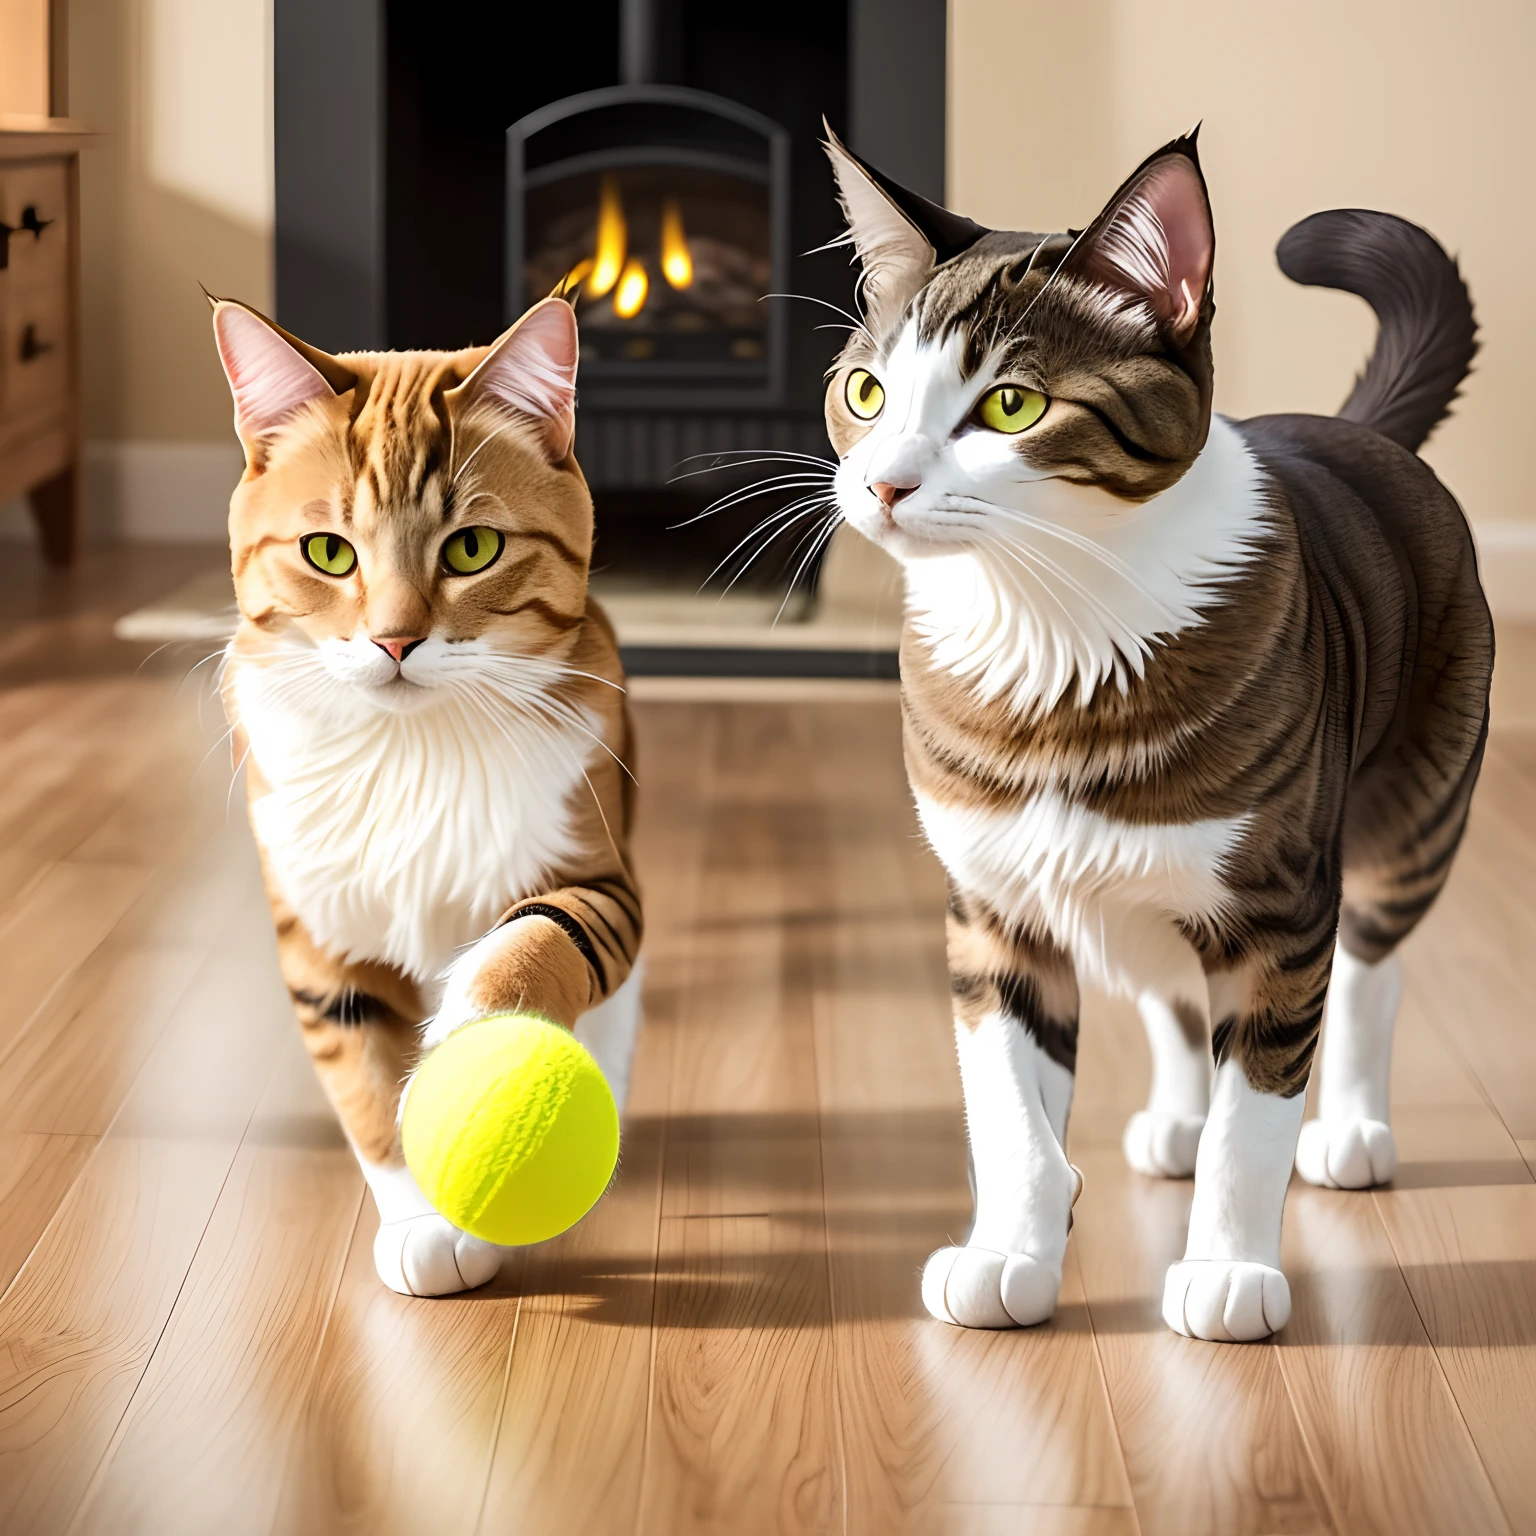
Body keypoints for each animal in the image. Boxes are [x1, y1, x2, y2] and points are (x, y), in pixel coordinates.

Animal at [211, 290, 642, 1296]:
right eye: (328, 552)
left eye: (472, 548)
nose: (395, 640)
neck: (410, 752)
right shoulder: (318, 933)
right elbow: (364, 1082)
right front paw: (425, 1217)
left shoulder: (599, 876)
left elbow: (530, 948)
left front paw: (470, 1066)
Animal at [823, 125, 1492, 1339]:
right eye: (866, 389)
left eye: (1011, 407)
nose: (884, 485)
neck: (1052, 639)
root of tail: (1357, 429)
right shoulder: (989, 907)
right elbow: (1009, 1104)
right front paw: (1012, 1245)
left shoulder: (1280, 910)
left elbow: (1254, 1113)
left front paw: (1228, 1272)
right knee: (1173, 991)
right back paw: (1172, 1119)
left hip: (1412, 806)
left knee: (1371, 967)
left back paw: (1350, 1129)